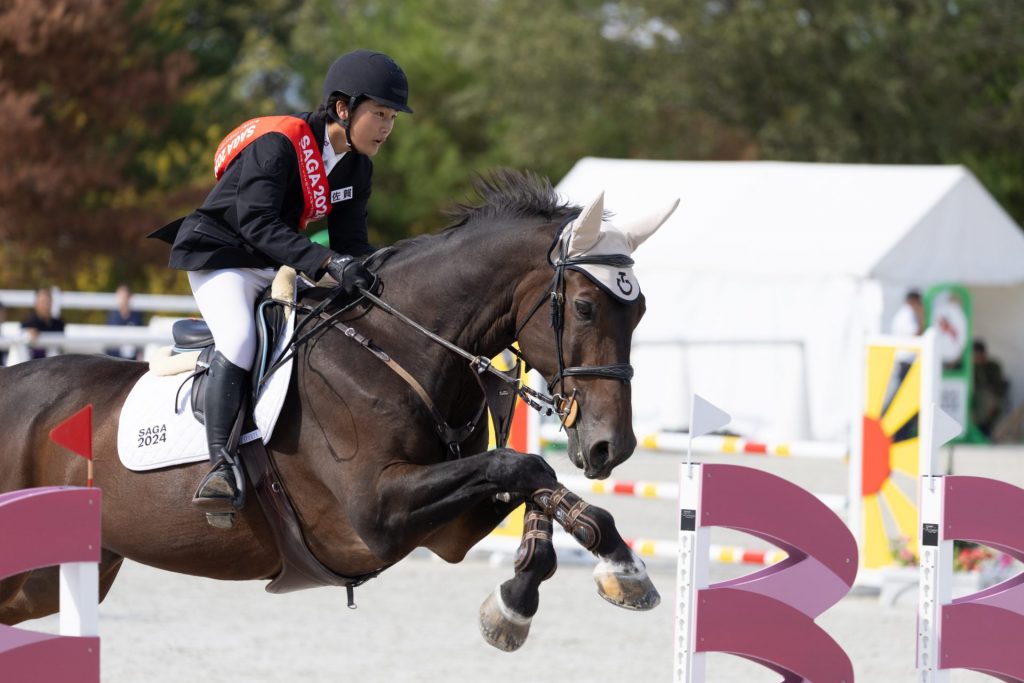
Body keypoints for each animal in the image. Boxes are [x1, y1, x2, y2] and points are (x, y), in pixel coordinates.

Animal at [0, 171, 679, 651]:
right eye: (586, 307)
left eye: (642, 311)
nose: (610, 447)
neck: (399, 349)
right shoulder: (378, 513)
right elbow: (523, 466)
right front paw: (521, 600)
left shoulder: (443, 531)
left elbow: (532, 476)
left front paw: (610, 571)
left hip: (53, 576)